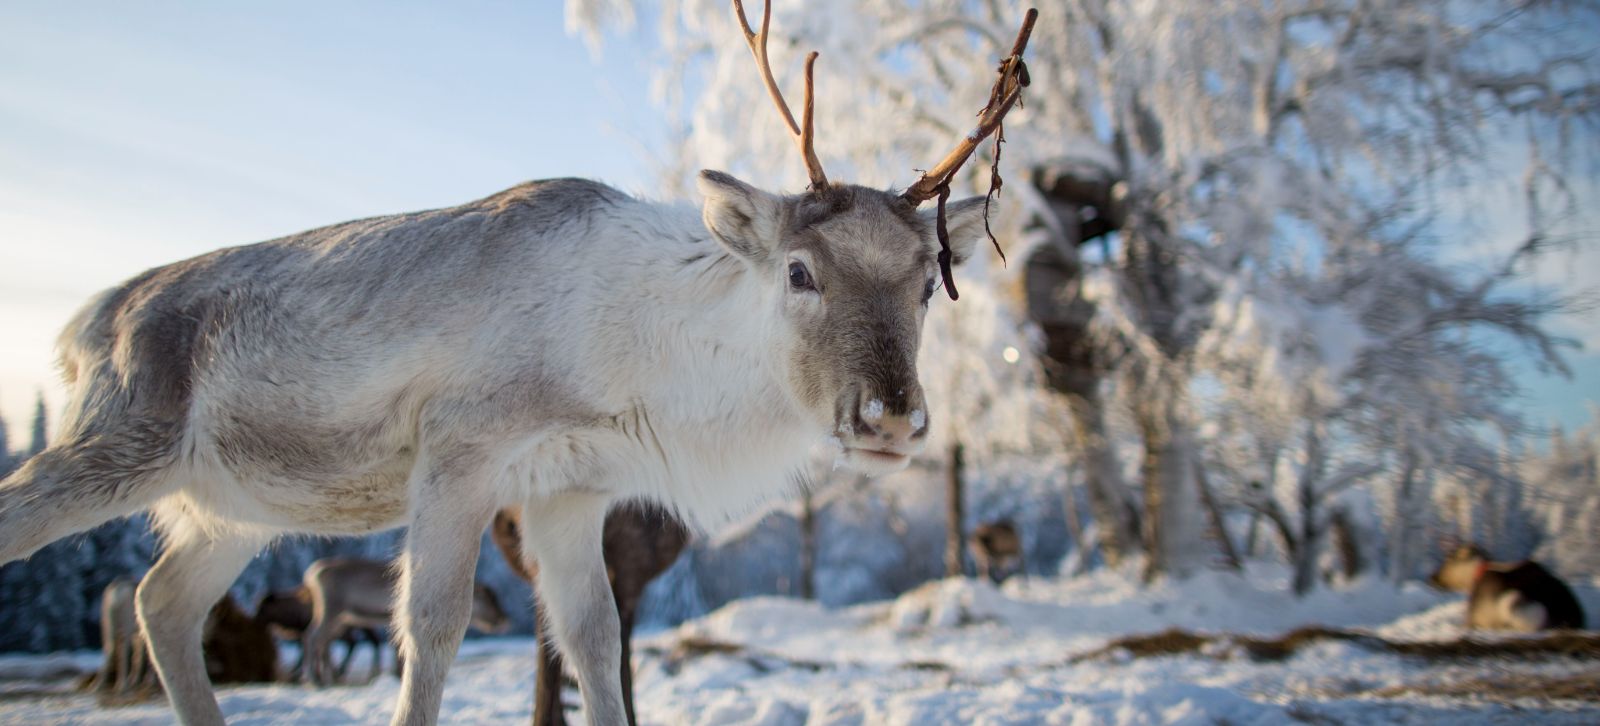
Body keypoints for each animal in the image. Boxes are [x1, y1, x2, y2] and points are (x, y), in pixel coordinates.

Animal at [300, 557, 510, 686]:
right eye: (490, 599)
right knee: (312, 637)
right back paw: (315, 678)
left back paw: (328, 677)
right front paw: (398, 673)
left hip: (341, 618)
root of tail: (310, 574)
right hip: (331, 610)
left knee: (323, 642)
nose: (504, 619)